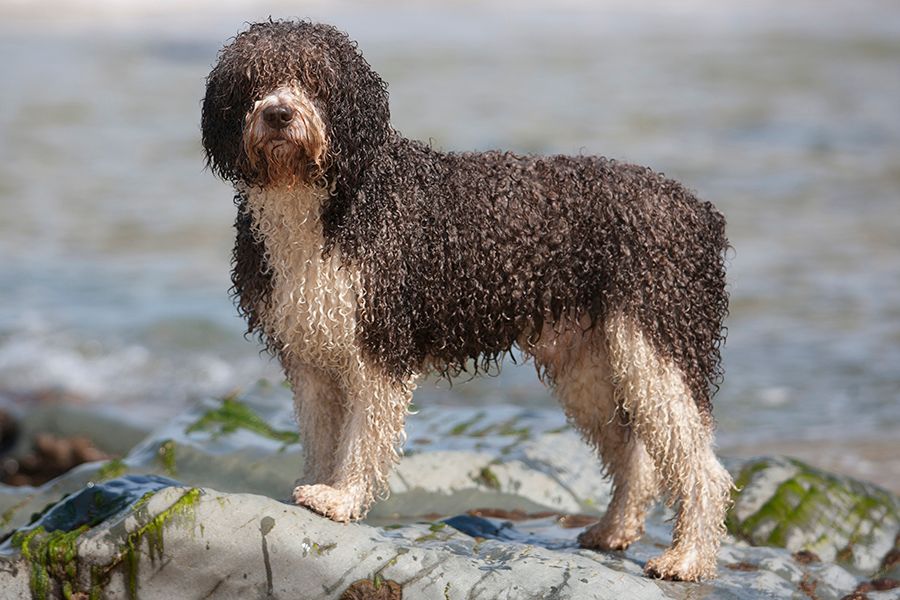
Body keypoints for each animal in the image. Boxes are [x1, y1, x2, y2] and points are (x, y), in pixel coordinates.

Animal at [200, 19, 736, 580]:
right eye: (255, 79)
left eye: (315, 78)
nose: (278, 114)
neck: (326, 203)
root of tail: (698, 212)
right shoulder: (310, 350)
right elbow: (322, 434)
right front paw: (317, 488)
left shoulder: (380, 343)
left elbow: (363, 436)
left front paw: (341, 498)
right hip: (589, 365)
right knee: (636, 456)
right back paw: (613, 530)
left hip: (656, 345)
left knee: (703, 469)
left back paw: (687, 557)